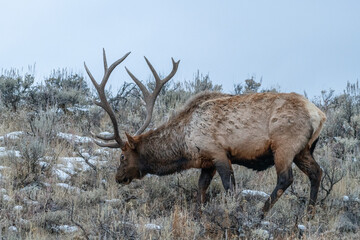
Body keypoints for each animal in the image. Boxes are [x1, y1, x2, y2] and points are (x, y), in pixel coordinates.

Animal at [85, 48, 326, 218]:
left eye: (122, 156)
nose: (118, 177)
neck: (185, 144)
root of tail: (319, 115)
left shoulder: (218, 152)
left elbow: (229, 188)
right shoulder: (207, 162)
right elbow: (200, 189)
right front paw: (197, 215)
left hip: (284, 146)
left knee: (286, 179)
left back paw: (260, 214)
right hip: (304, 150)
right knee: (317, 172)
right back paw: (309, 215)